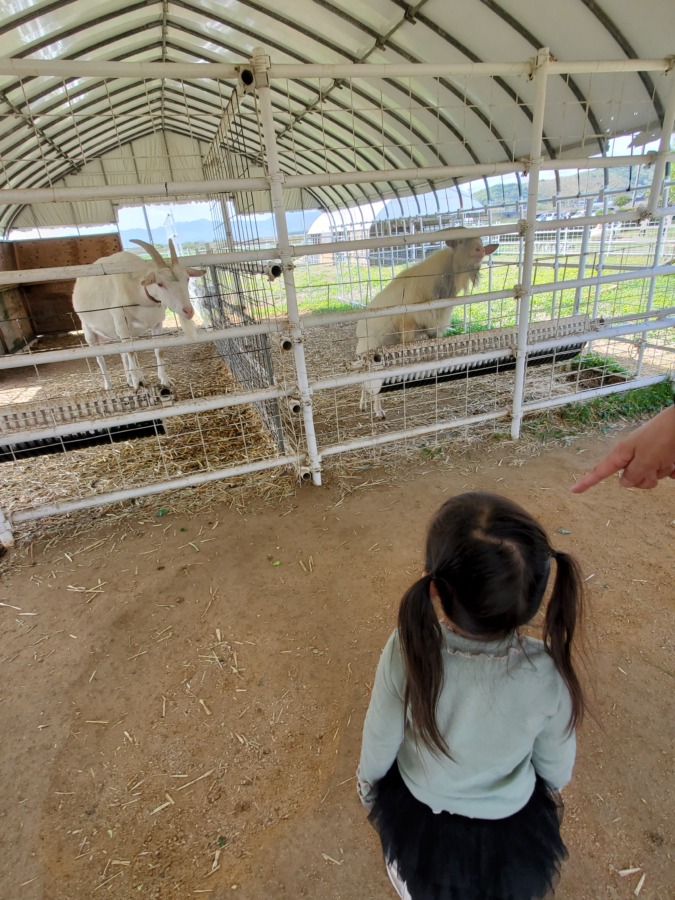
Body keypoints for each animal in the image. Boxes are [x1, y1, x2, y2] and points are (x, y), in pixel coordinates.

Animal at [73, 239, 206, 390]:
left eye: (187, 279)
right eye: (160, 284)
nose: (188, 311)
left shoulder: (157, 324)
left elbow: (158, 350)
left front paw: (164, 380)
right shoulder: (122, 325)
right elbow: (131, 351)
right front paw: (137, 383)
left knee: (122, 353)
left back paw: (129, 379)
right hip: (88, 329)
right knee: (100, 357)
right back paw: (109, 384)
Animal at [356, 236, 500, 418]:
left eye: (480, 241)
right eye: (460, 241)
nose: (480, 250)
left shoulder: (434, 328)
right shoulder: (408, 325)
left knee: (365, 383)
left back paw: (364, 405)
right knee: (371, 383)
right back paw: (377, 410)